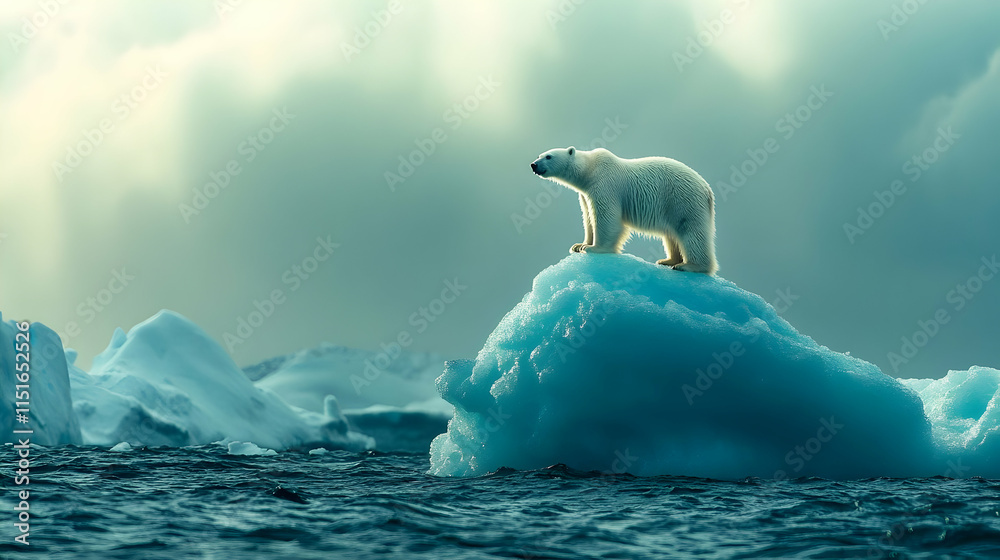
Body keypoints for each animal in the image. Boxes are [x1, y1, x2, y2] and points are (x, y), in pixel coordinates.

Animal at [530, 147, 718, 274]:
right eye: (539, 155)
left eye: (548, 156)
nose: (533, 164)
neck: (589, 170)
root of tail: (707, 189)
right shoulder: (584, 194)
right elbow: (588, 218)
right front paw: (579, 245)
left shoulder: (604, 183)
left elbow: (606, 217)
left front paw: (593, 248)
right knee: (671, 235)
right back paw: (667, 260)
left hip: (682, 200)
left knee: (691, 231)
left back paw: (689, 265)